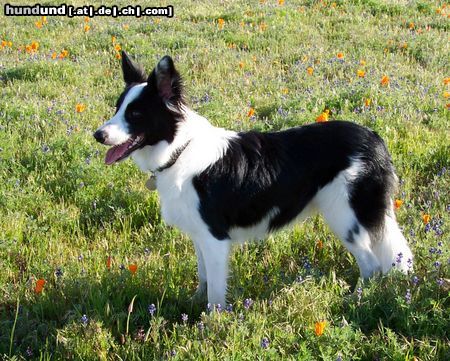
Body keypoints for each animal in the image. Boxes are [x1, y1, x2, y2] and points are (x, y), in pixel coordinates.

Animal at [93, 52, 414, 306]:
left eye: (135, 114)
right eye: (117, 108)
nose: (97, 135)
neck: (178, 149)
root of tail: (375, 139)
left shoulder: (215, 238)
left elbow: (215, 294)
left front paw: (210, 327)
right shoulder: (199, 235)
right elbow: (203, 278)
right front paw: (192, 305)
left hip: (345, 216)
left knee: (371, 265)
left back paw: (355, 301)